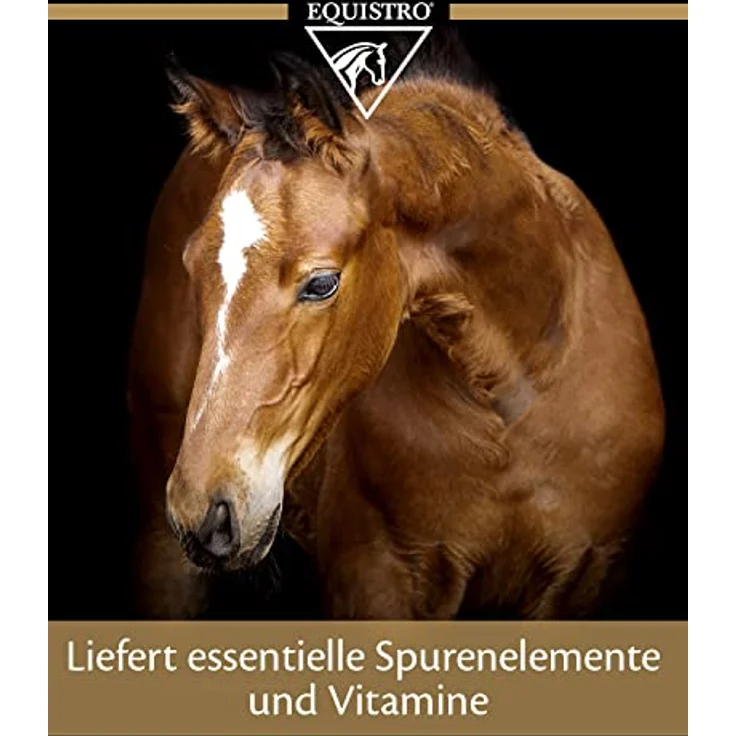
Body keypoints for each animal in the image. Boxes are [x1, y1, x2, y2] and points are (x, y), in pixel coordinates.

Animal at [126, 44, 665, 620]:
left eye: (321, 283)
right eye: (191, 267)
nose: (205, 512)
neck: (513, 397)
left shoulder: (592, 574)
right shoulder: (376, 580)